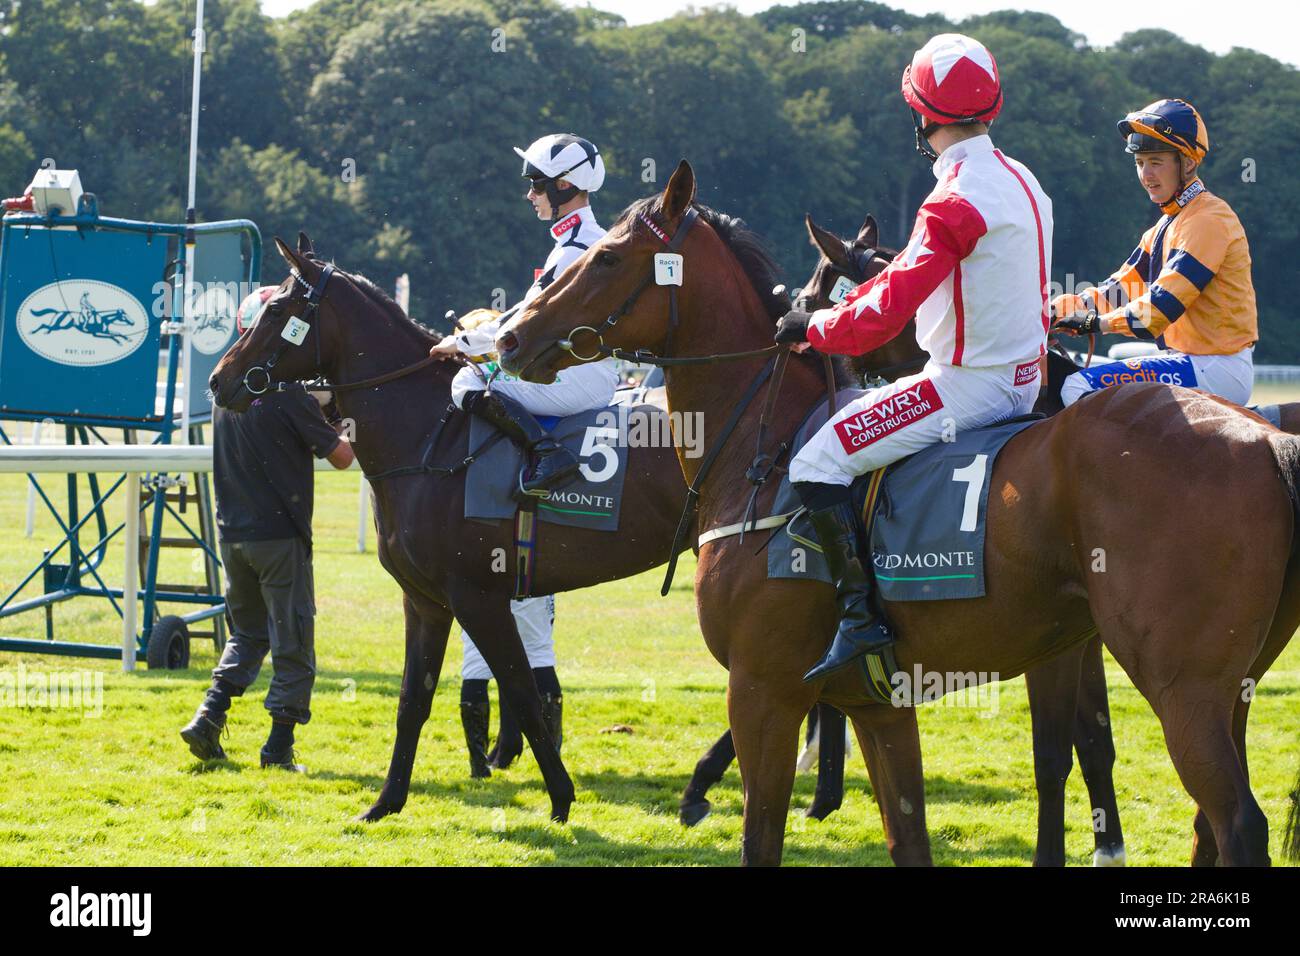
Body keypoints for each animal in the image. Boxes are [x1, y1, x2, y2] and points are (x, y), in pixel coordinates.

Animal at [499, 162, 1300, 868]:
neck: (767, 449)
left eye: (604, 255)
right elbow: (912, 832)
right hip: (1233, 686)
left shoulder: (762, 690)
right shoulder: (883, 704)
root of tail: (1267, 437)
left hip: (1182, 686)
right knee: (1208, 823)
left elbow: (761, 837)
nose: (510, 335)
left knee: (1237, 822)